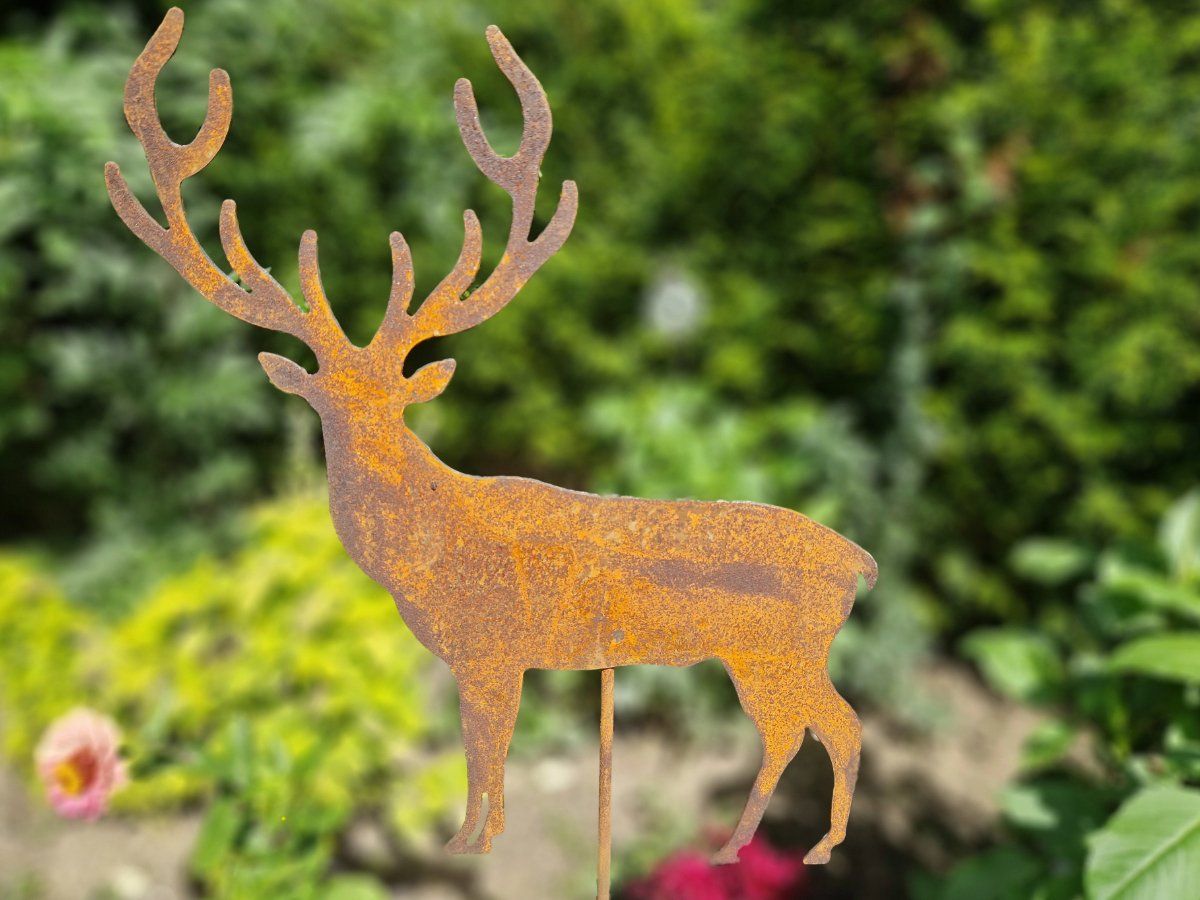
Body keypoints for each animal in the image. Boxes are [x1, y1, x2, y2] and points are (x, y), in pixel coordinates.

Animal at [107, 8, 876, 868]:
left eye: (395, 404)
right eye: (329, 407)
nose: (373, 461)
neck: (427, 553)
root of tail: (861, 564)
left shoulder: (493, 648)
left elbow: (486, 749)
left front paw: (470, 840)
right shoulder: (484, 657)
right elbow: (483, 749)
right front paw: (476, 837)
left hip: (781, 651)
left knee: (837, 727)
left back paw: (804, 847)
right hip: (763, 658)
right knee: (802, 732)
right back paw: (748, 844)